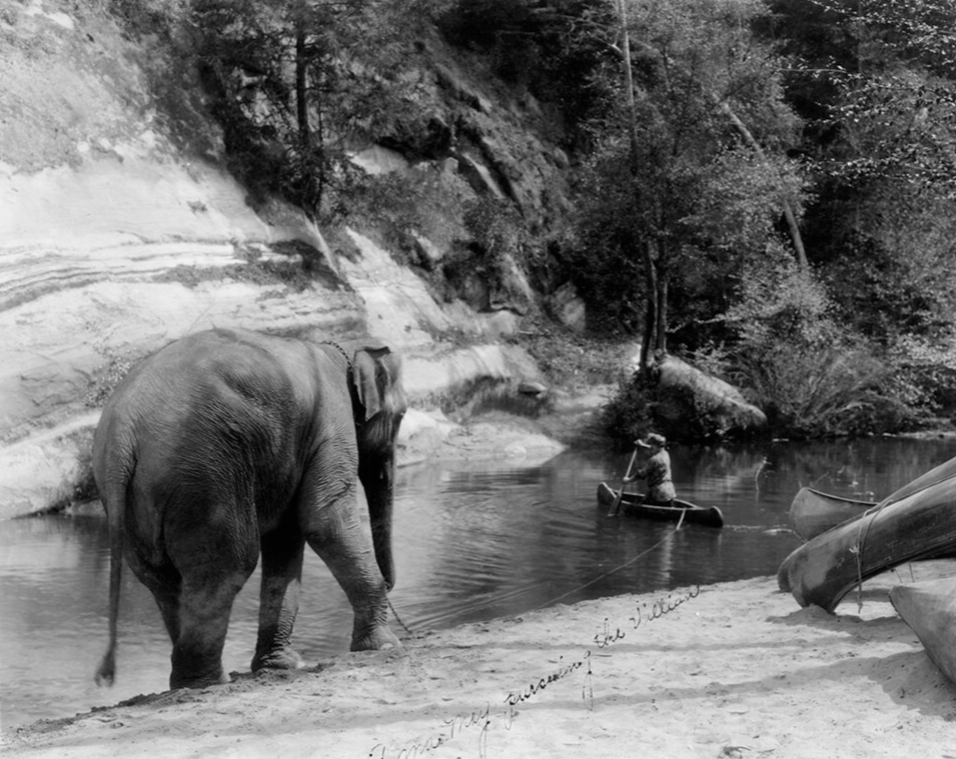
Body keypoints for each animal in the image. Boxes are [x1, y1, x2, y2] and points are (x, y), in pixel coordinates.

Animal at [92, 328, 406, 689]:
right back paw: (209, 682)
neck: (338, 346)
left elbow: (286, 539)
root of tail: (122, 431)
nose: (391, 584)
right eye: (401, 415)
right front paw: (385, 646)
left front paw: (282, 665)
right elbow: (323, 520)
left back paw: (190, 681)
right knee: (229, 564)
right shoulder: (330, 422)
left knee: (164, 580)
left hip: (134, 500)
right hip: (204, 473)